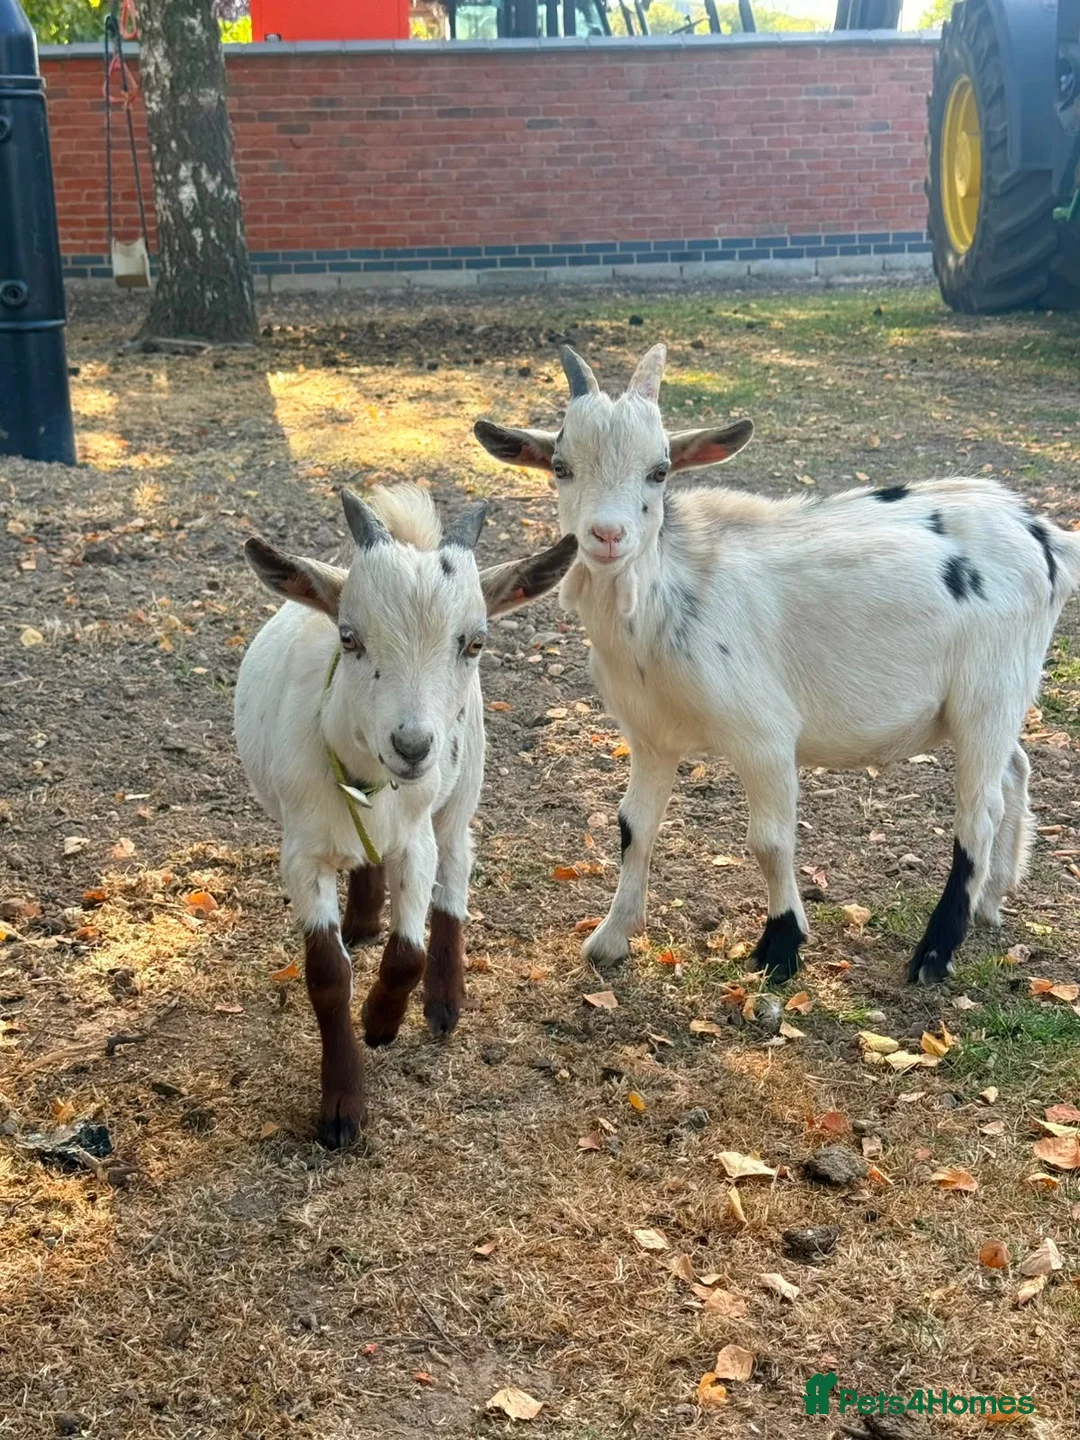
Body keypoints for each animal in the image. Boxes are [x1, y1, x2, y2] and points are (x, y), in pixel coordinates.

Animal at [235, 484, 577, 1146]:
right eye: (348, 637)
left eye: (475, 642)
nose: (413, 746)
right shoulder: (301, 854)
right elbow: (326, 973)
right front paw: (342, 1106)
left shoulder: (417, 839)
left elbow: (409, 951)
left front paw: (380, 1024)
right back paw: (363, 921)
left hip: (463, 789)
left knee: (457, 870)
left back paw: (444, 1002)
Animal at [475, 344, 1080, 988]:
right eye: (560, 467)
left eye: (660, 471)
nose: (607, 535)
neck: (666, 598)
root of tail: (1045, 537)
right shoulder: (650, 736)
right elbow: (633, 827)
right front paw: (611, 938)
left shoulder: (763, 735)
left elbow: (769, 842)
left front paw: (781, 948)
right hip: (998, 697)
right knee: (1014, 772)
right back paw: (991, 901)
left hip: (988, 691)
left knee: (979, 812)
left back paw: (935, 953)